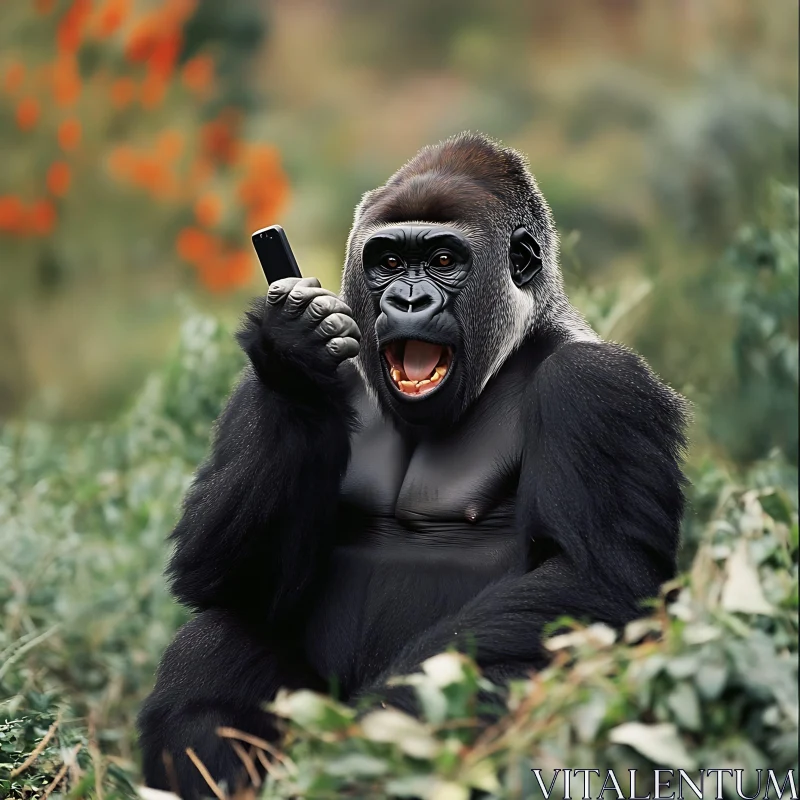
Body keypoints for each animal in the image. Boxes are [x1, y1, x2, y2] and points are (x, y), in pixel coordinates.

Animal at [139, 131, 688, 792]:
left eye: (444, 261)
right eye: (389, 263)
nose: (406, 299)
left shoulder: (598, 386)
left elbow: (591, 580)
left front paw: (367, 743)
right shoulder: (255, 386)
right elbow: (227, 578)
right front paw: (296, 357)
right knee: (216, 635)